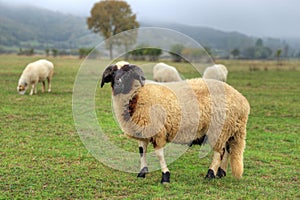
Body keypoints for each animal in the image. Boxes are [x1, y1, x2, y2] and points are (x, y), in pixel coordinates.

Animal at [101, 62, 251, 184]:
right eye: (113, 73)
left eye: (128, 74)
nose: (118, 84)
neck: (137, 94)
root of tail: (243, 101)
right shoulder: (142, 131)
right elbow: (142, 152)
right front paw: (142, 173)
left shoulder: (158, 131)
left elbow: (159, 154)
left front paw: (165, 177)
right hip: (228, 129)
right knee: (227, 150)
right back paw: (221, 173)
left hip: (219, 128)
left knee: (219, 152)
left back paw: (210, 174)